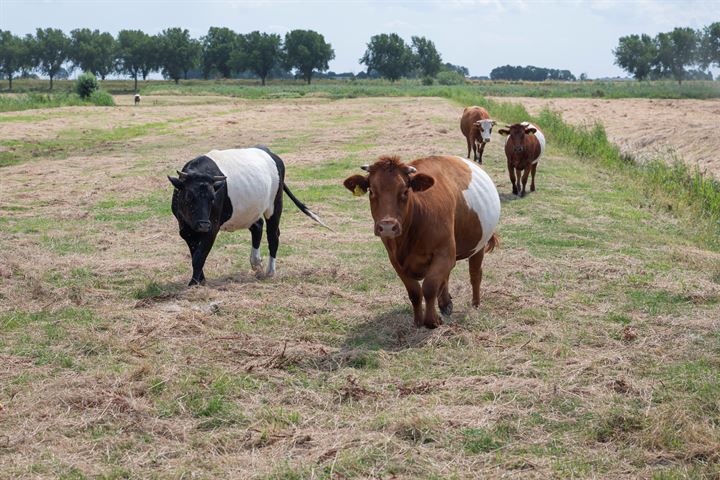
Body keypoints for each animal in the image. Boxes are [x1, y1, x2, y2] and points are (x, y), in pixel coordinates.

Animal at [169, 146, 330, 284]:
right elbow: (195, 254)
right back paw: (256, 263)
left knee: (273, 234)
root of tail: (268, 151)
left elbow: (199, 256)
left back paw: (270, 271)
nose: (203, 224)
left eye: (213, 198)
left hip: (275, 204)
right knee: (257, 226)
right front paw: (200, 280)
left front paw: (193, 283)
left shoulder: (212, 226)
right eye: (189, 196)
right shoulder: (186, 230)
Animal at [344, 156, 500, 328]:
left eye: (405, 191)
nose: (387, 227)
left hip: (479, 244)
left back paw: (475, 304)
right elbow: (414, 292)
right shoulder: (395, 260)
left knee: (475, 274)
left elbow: (429, 287)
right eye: (371, 191)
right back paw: (445, 303)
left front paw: (432, 321)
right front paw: (418, 320)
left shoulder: (444, 252)